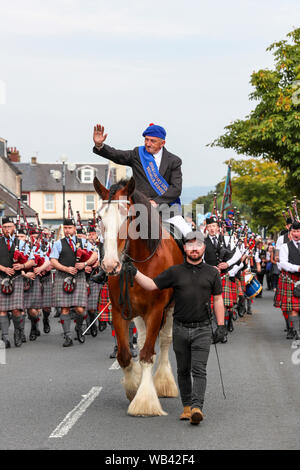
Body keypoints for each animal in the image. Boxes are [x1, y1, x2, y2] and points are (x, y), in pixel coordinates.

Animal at [94, 176, 183, 414]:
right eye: (100, 217)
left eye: (128, 216)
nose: (110, 265)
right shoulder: (119, 310)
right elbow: (125, 355)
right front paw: (133, 387)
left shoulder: (156, 311)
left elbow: (146, 354)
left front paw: (144, 401)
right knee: (143, 340)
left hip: (169, 310)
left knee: (164, 342)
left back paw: (164, 383)